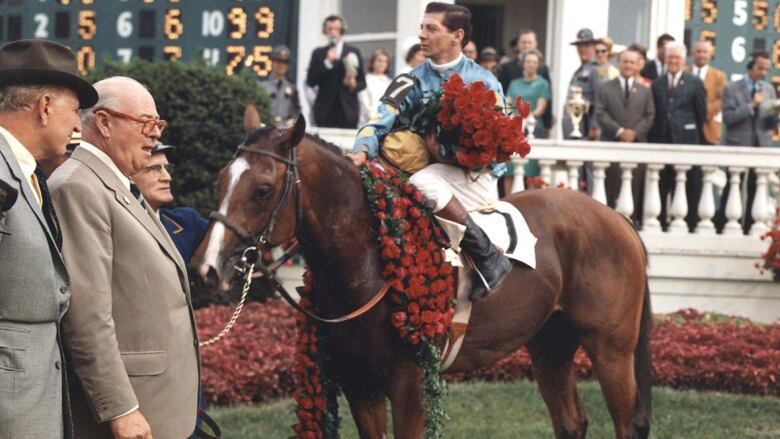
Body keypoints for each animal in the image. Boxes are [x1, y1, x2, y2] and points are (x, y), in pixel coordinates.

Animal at [193, 116, 652, 439]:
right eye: (220, 179)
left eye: (263, 190)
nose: (205, 267)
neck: (367, 263)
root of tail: (618, 218)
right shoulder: (359, 383)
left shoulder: (408, 384)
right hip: (550, 345)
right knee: (571, 422)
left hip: (611, 348)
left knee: (626, 423)